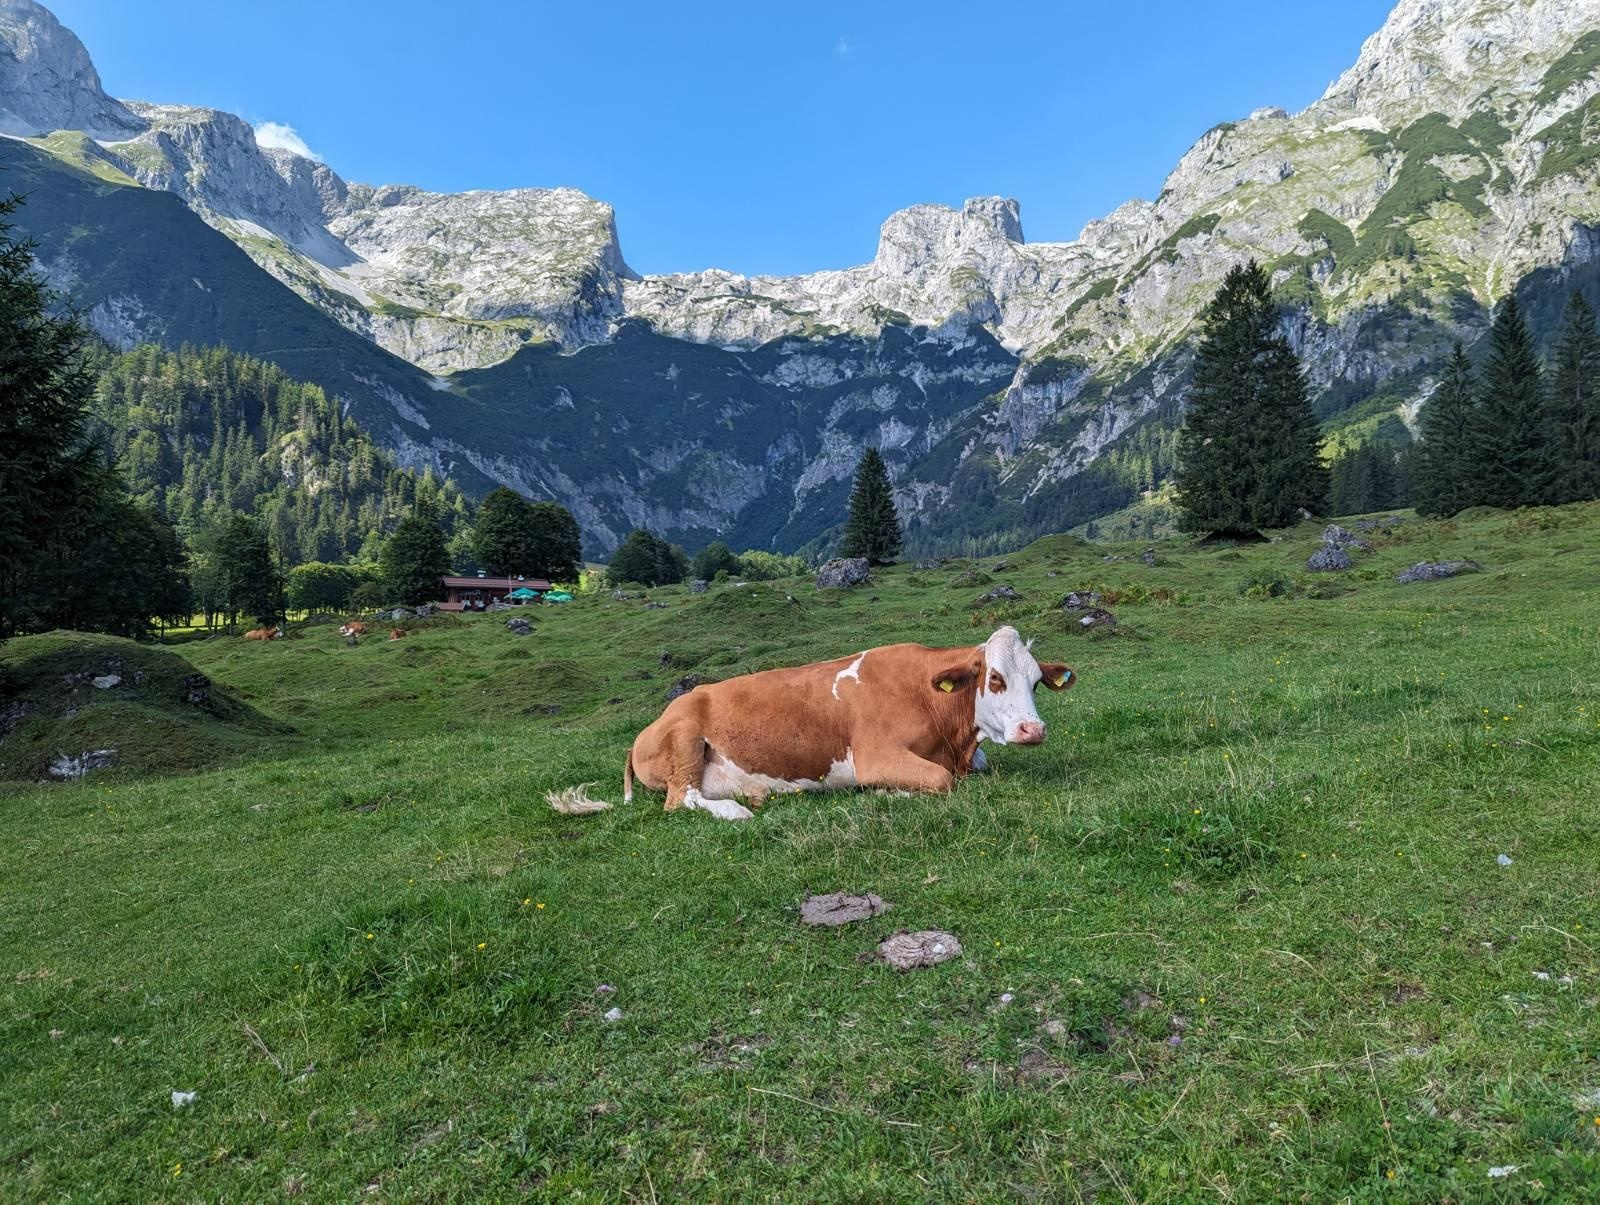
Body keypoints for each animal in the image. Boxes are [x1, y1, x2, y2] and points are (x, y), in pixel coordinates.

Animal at [624, 630, 1075, 819]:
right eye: (995, 678)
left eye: (1037, 680)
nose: (1033, 730)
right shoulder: (875, 757)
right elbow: (942, 780)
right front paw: (886, 794)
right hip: (684, 739)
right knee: (680, 799)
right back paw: (736, 811)